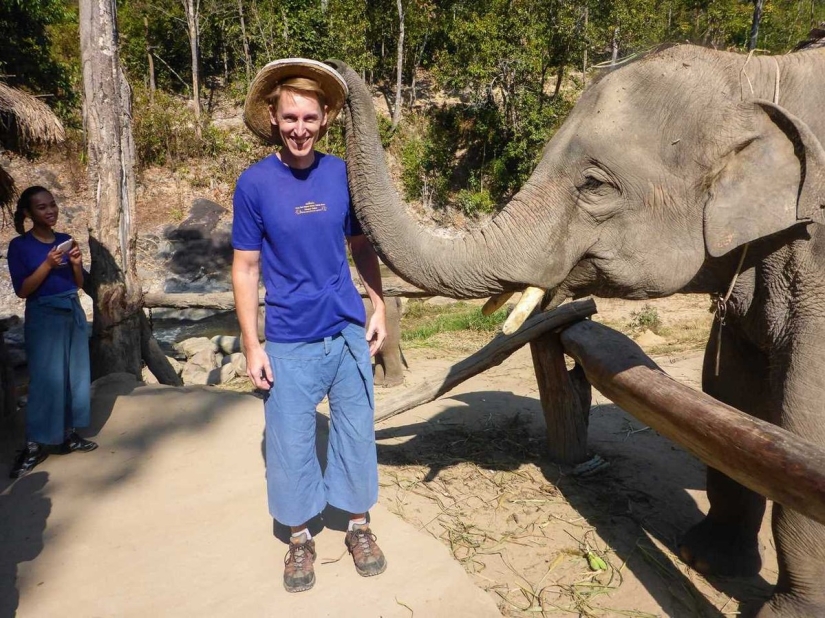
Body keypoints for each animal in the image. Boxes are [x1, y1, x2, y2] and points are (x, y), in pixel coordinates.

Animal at [326, 39, 824, 616]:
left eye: (594, 185)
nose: (334, 69)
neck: (758, 73)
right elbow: (729, 393)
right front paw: (702, 559)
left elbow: (803, 415)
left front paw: (781, 611)